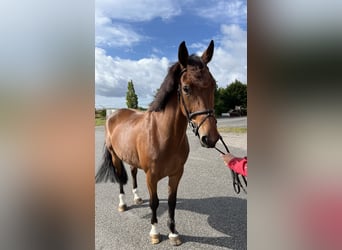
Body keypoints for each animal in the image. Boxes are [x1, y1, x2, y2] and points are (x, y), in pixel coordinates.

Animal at [95, 40, 220, 245]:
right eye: (186, 88)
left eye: (214, 85)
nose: (210, 138)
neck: (162, 135)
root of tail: (114, 114)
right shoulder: (151, 176)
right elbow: (154, 202)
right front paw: (155, 233)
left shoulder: (176, 174)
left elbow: (171, 202)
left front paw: (173, 233)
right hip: (115, 156)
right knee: (120, 178)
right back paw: (123, 204)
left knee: (132, 173)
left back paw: (137, 198)